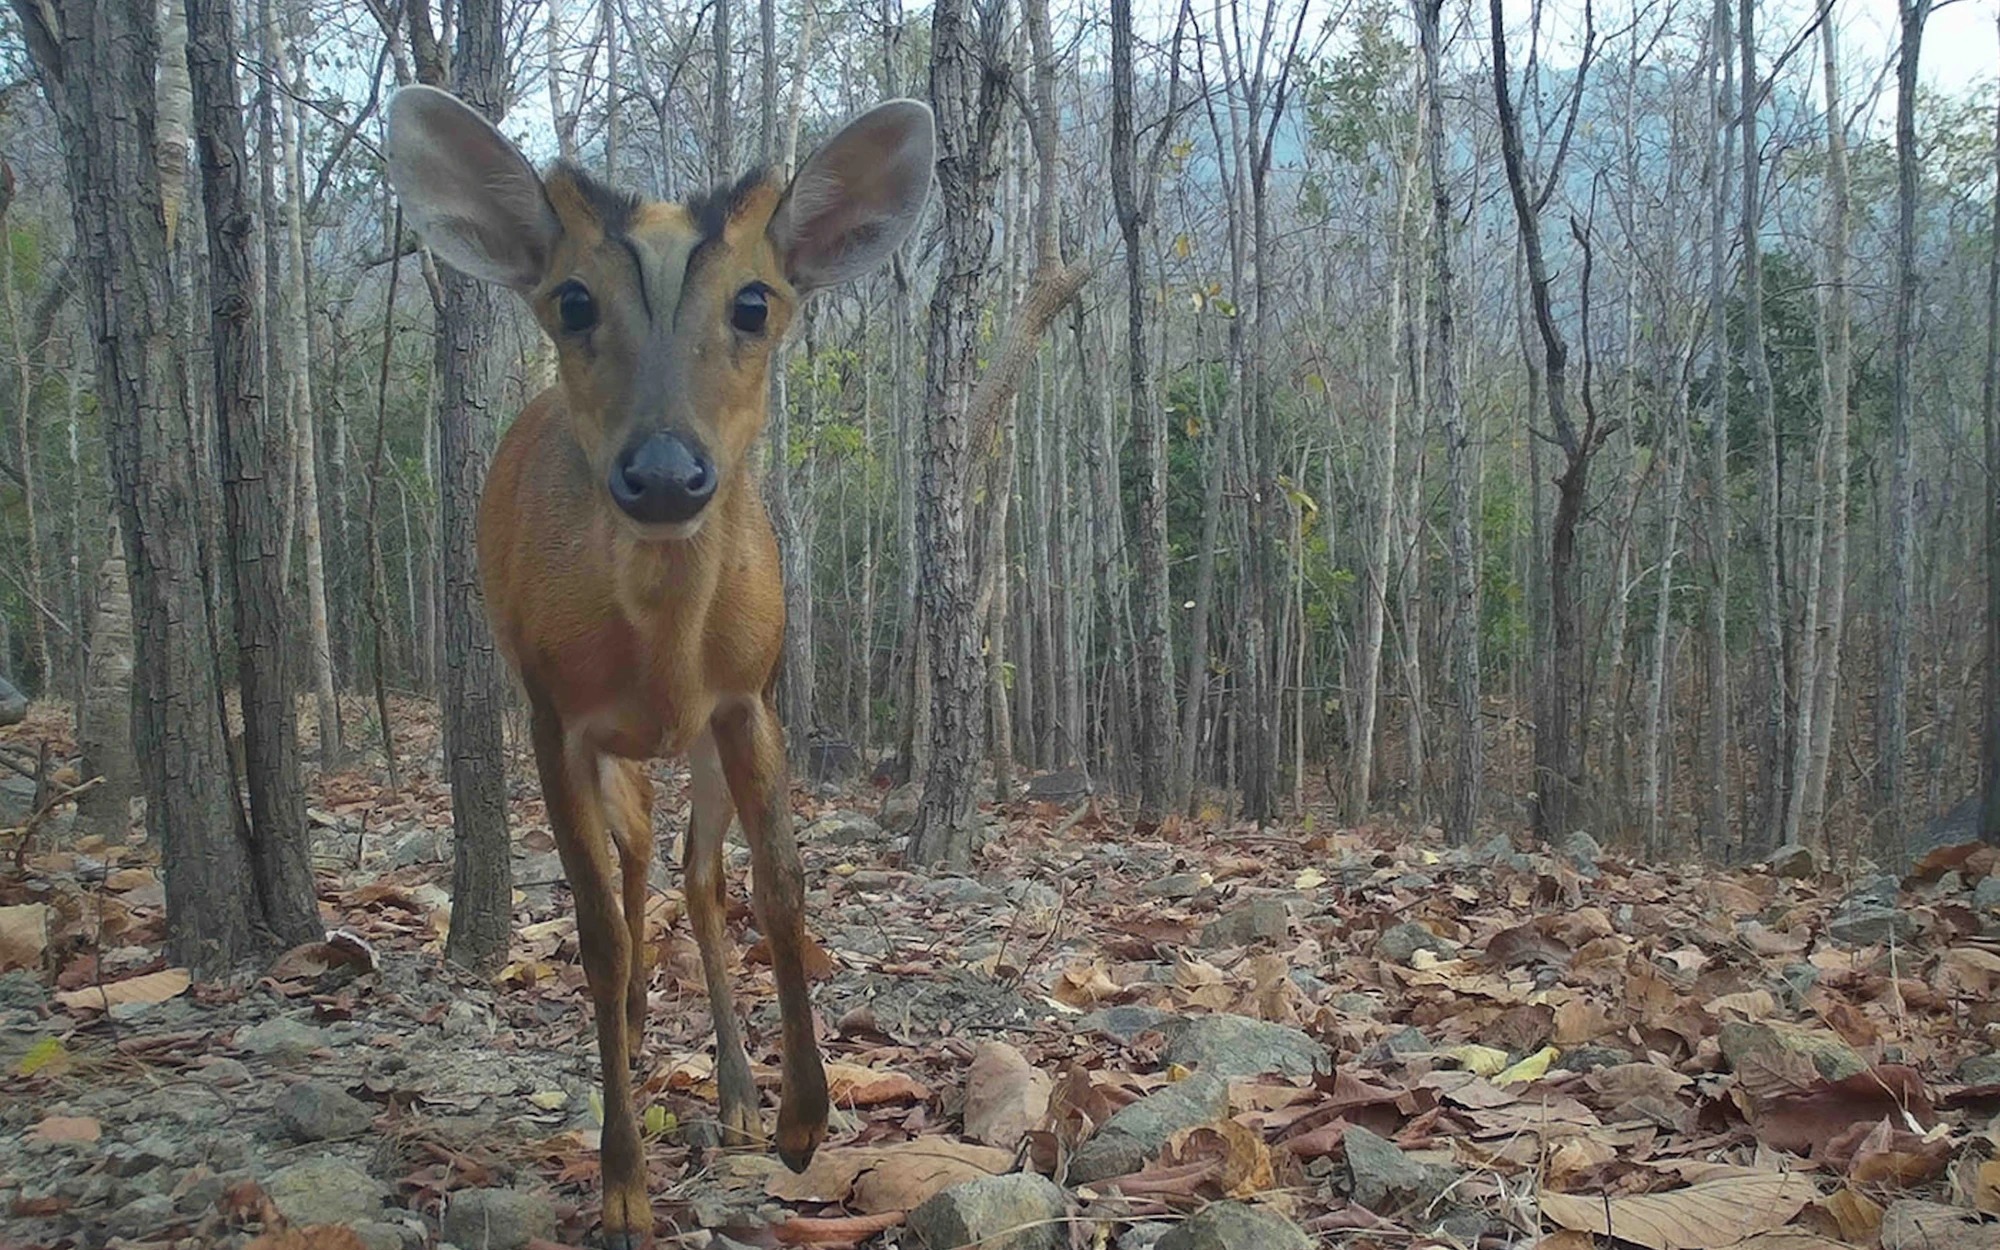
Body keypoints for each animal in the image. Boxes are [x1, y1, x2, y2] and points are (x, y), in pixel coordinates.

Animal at [388, 90, 936, 1248]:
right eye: (572, 300)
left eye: (755, 302)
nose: (664, 473)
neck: (663, 654)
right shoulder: (552, 714)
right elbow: (593, 929)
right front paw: (623, 1185)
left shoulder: (749, 697)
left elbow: (779, 887)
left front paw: (801, 1119)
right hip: (605, 746)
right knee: (633, 869)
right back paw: (640, 1030)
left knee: (691, 874)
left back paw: (732, 1096)